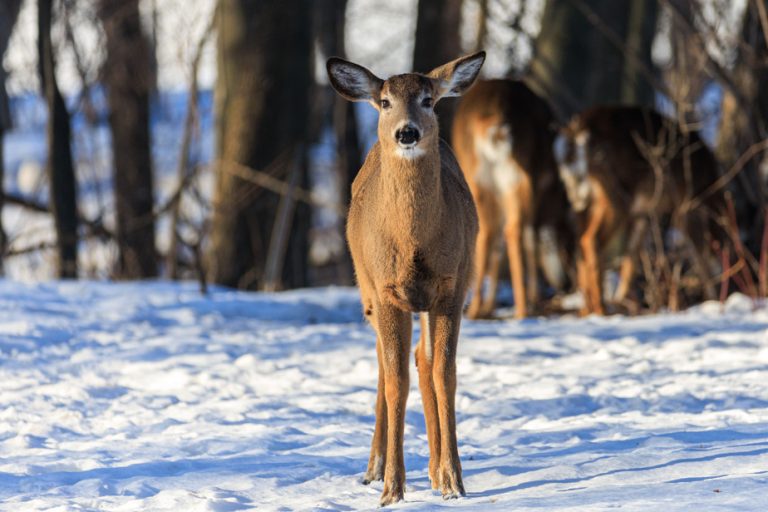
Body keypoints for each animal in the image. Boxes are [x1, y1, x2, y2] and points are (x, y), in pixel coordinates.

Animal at [326, 51, 484, 504]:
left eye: (429, 100)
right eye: (384, 102)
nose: (407, 132)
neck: (413, 243)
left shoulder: (451, 288)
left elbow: (444, 375)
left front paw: (453, 480)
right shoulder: (387, 292)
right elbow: (396, 381)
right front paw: (392, 488)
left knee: (422, 360)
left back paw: (433, 471)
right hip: (366, 290)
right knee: (384, 364)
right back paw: (374, 468)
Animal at [452, 79, 572, 320]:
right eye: (564, 241)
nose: (565, 284)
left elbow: (497, 245)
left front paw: (489, 305)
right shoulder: (535, 189)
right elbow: (531, 237)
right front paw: (535, 296)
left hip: (477, 181)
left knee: (487, 233)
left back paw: (476, 308)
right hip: (519, 178)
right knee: (515, 230)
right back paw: (522, 307)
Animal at [552, 105, 728, 314]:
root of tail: (575, 132)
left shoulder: (642, 214)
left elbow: (631, 258)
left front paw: (623, 301)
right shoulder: (688, 206)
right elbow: (701, 258)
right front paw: (713, 300)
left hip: (583, 201)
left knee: (580, 245)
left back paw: (587, 309)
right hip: (614, 195)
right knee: (590, 240)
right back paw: (601, 308)